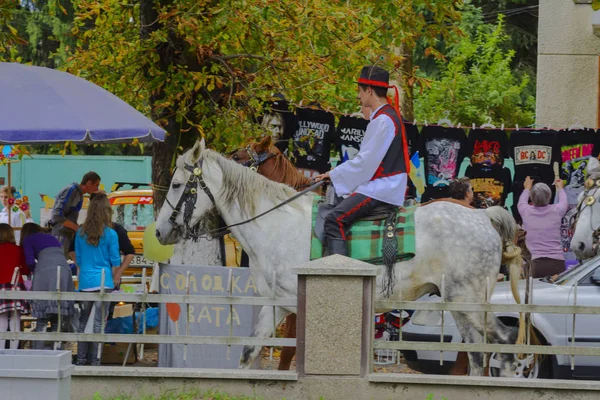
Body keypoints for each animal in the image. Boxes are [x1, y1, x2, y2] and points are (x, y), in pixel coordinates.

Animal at [156, 140, 528, 376]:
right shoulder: (275, 305)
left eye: (176, 184)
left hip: (468, 301)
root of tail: (483, 217)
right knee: (479, 355)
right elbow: (249, 355)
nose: (160, 231)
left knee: (501, 346)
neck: (278, 225)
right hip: (461, 304)